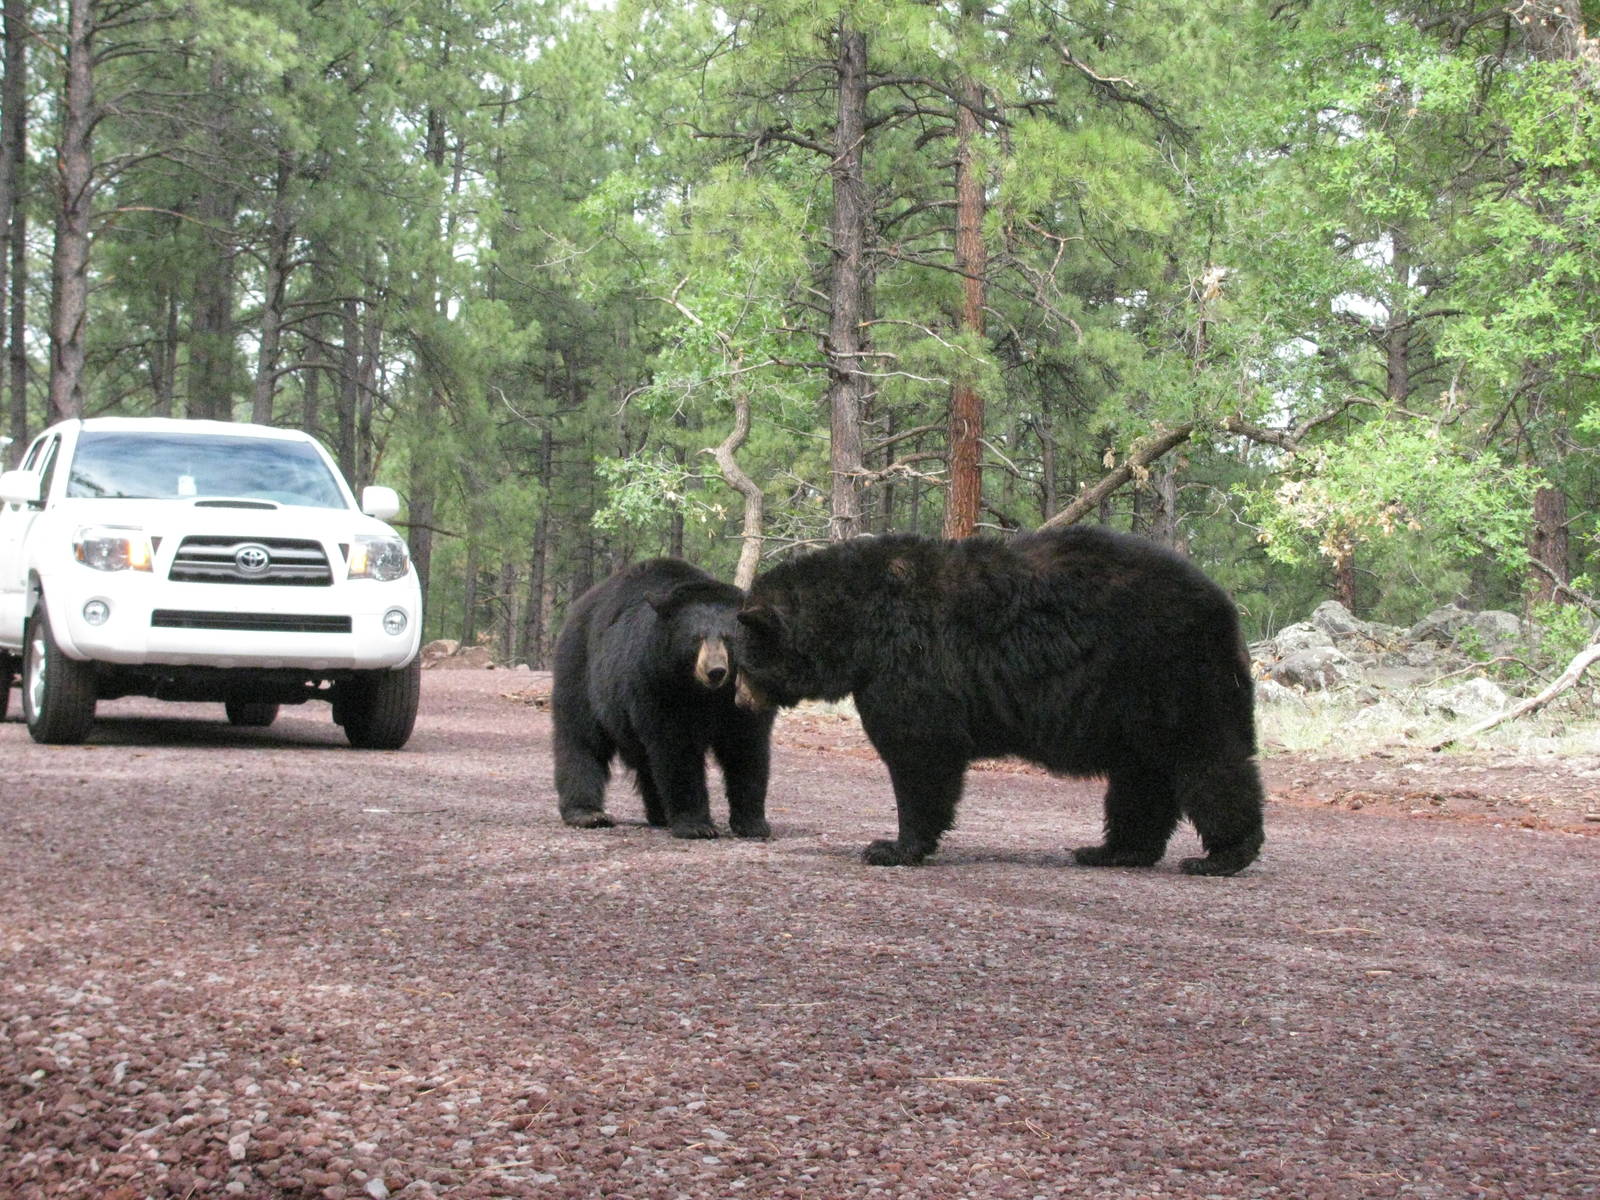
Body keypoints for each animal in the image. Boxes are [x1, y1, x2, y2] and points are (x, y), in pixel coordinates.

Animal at [552, 557, 776, 839]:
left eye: (729, 638)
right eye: (696, 638)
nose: (716, 671)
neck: (703, 693)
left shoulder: (740, 697)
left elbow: (746, 747)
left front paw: (753, 823)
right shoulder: (657, 685)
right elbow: (676, 749)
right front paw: (696, 825)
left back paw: (659, 812)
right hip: (582, 671)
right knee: (581, 738)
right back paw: (587, 813)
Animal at [734, 525, 1264, 875]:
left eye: (744, 663)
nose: (740, 702)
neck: (855, 624)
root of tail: (1225, 606)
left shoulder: (910, 664)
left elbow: (920, 752)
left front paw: (891, 846)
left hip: (1171, 676)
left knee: (1209, 760)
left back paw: (1223, 855)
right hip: (1134, 708)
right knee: (1141, 777)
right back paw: (1112, 851)